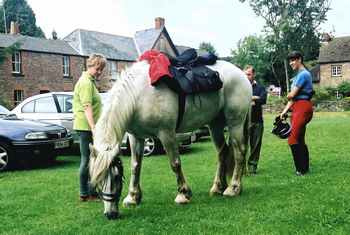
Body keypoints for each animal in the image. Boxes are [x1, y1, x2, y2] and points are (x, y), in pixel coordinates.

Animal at [89, 59, 250, 219]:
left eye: (116, 177)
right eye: (97, 180)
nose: (110, 214)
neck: (139, 95)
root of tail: (241, 74)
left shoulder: (166, 134)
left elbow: (175, 164)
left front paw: (183, 194)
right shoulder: (136, 137)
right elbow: (135, 166)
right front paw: (133, 197)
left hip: (235, 123)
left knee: (239, 152)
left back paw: (233, 188)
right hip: (215, 124)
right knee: (222, 152)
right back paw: (218, 187)